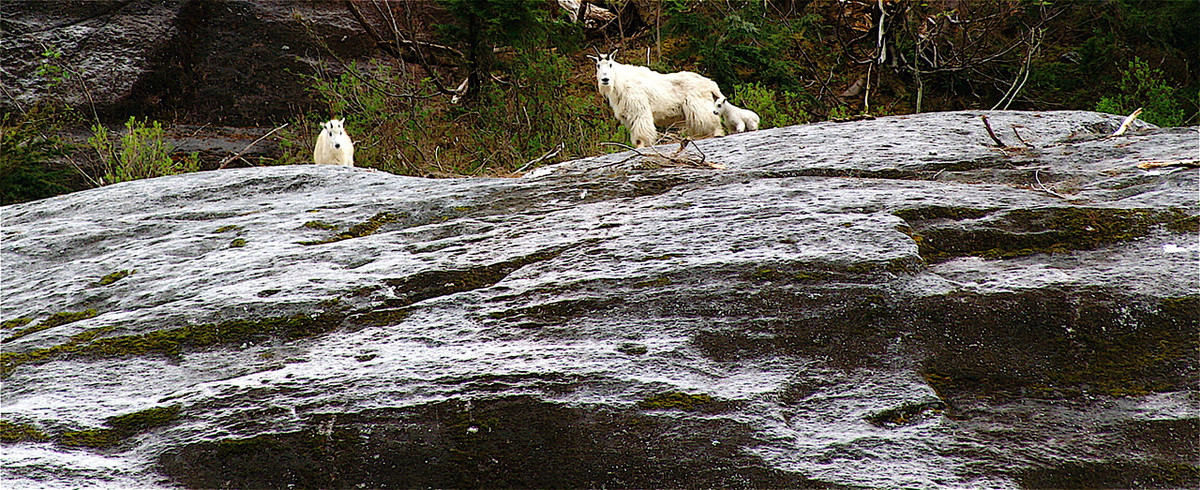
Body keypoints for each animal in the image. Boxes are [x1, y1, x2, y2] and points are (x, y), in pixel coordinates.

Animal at [588, 48, 724, 147]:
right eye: (598, 65)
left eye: (610, 64)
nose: (605, 80)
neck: (620, 82)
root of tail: (710, 84)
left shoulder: (639, 111)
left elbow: (641, 136)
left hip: (699, 107)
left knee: (714, 123)